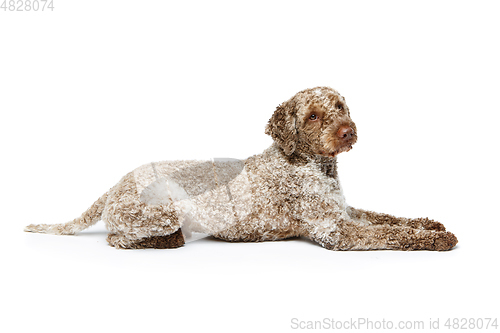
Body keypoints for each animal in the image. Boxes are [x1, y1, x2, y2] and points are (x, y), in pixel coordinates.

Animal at [25, 85, 458, 249]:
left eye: (339, 106)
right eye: (313, 116)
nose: (348, 132)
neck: (314, 167)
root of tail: (114, 184)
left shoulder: (346, 211)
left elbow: (391, 218)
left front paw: (431, 224)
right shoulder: (336, 230)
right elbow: (392, 233)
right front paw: (439, 239)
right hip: (166, 210)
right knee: (116, 238)